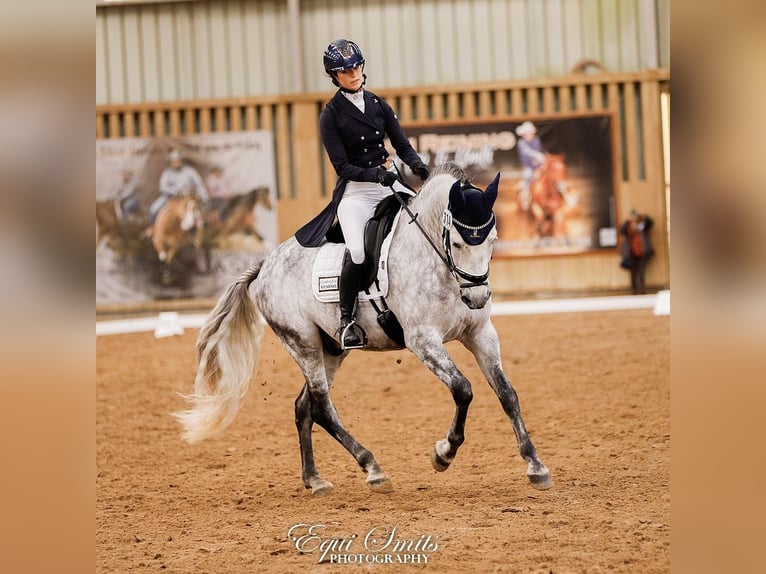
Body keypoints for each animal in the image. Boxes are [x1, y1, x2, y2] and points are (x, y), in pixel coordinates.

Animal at [174, 164, 552, 496]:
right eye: (457, 242)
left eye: (492, 240)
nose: (477, 297)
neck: (433, 259)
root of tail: (265, 264)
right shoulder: (422, 340)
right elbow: (463, 389)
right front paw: (443, 454)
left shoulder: (480, 333)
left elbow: (507, 394)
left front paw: (535, 466)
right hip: (302, 343)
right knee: (322, 407)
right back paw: (373, 469)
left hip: (331, 349)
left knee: (304, 406)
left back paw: (315, 479)